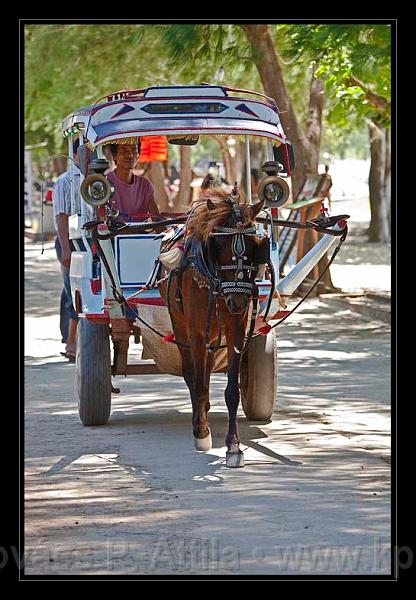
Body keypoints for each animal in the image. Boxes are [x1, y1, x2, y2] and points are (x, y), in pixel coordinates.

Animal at [159, 189, 270, 468]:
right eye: (218, 245)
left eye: (254, 244)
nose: (237, 301)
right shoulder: (196, 332)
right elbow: (197, 382)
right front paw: (201, 432)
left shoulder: (237, 329)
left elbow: (231, 391)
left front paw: (234, 446)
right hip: (181, 325)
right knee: (192, 374)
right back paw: (199, 419)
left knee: (206, 369)